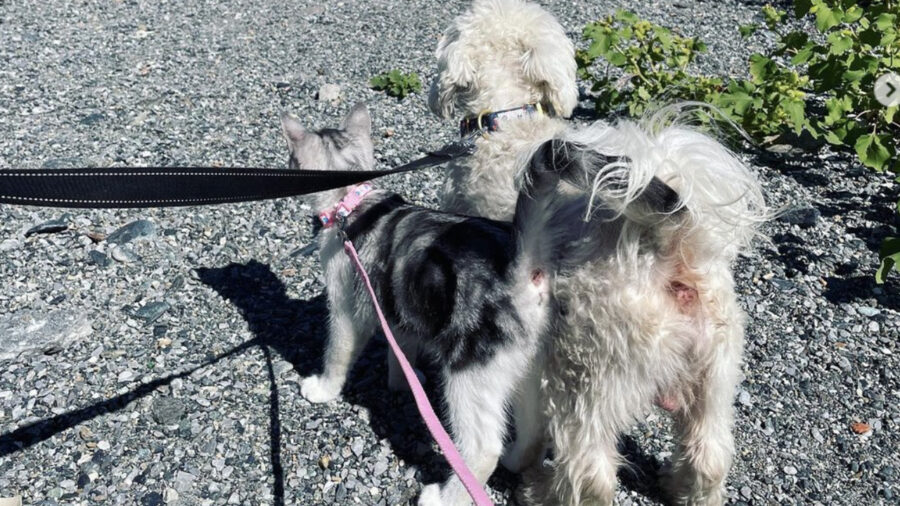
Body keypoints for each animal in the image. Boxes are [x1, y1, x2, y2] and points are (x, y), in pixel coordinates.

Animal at [284, 104, 584, 506]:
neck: (354, 203)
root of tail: (522, 264)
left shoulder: (347, 309)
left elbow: (337, 354)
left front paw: (323, 389)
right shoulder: (400, 308)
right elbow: (400, 351)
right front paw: (404, 381)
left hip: (469, 374)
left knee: (482, 448)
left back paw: (442, 495)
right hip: (528, 368)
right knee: (535, 427)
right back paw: (516, 460)